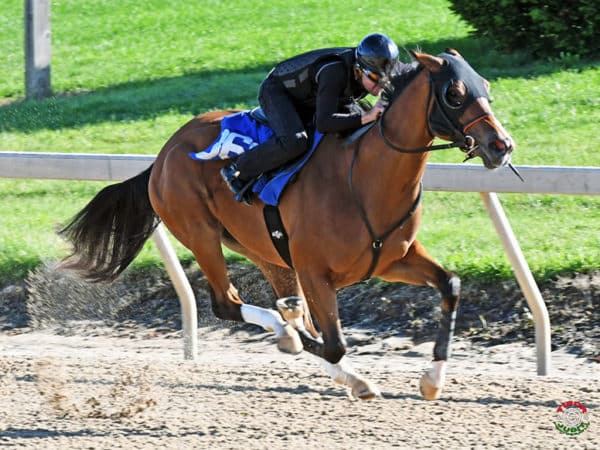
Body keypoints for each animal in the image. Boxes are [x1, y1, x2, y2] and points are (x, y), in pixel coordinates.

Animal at [61, 50, 512, 400]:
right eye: (454, 93)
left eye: (486, 85)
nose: (501, 145)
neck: (365, 178)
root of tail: (163, 154)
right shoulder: (315, 272)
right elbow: (333, 343)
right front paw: (314, 349)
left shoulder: (392, 260)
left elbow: (450, 285)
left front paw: (432, 381)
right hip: (200, 234)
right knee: (228, 303)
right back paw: (285, 330)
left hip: (263, 248)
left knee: (285, 305)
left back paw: (304, 337)